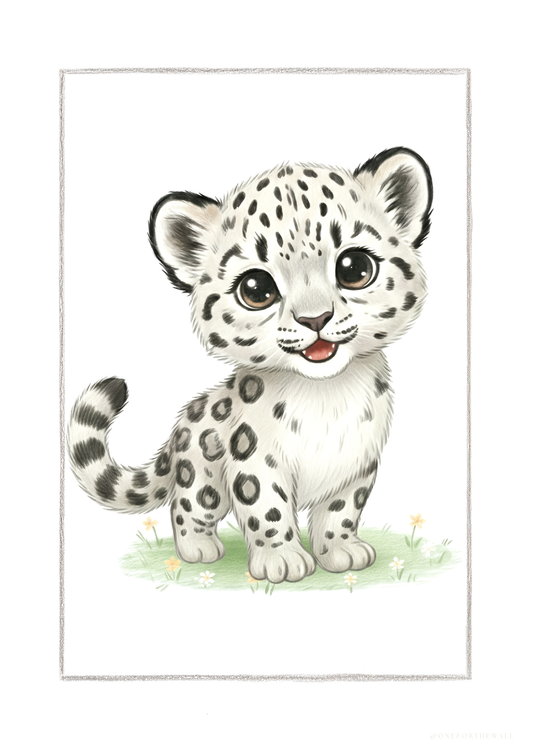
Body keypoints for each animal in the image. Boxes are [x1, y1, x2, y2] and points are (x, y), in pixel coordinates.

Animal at [68, 147, 433, 584]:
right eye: (256, 289)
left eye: (355, 268)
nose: (315, 319)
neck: (327, 397)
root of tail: (180, 428)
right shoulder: (256, 458)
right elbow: (266, 507)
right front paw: (283, 559)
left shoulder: (357, 461)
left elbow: (341, 509)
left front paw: (341, 550)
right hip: (201, 477)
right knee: (186, 504)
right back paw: (198, 547)